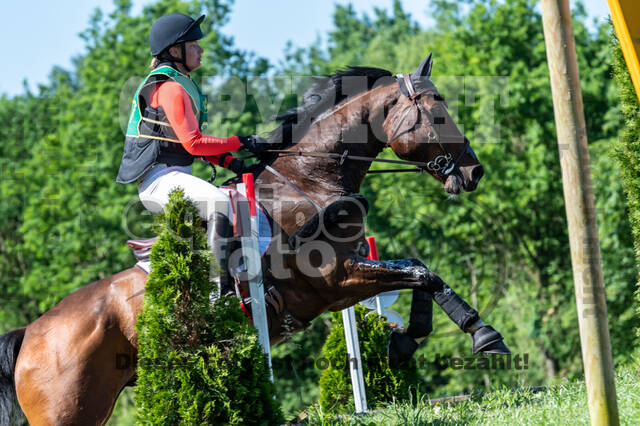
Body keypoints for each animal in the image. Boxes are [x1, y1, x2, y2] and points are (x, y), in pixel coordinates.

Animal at [0, 53, 509, 425]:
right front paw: (480, 335)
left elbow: (419, 271)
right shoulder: (335, 281)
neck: (308, 180)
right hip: (69, 409)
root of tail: (30, 335)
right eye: (438, 112)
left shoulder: (347, 280)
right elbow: (422, 273)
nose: (474, 171)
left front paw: (417, 341)